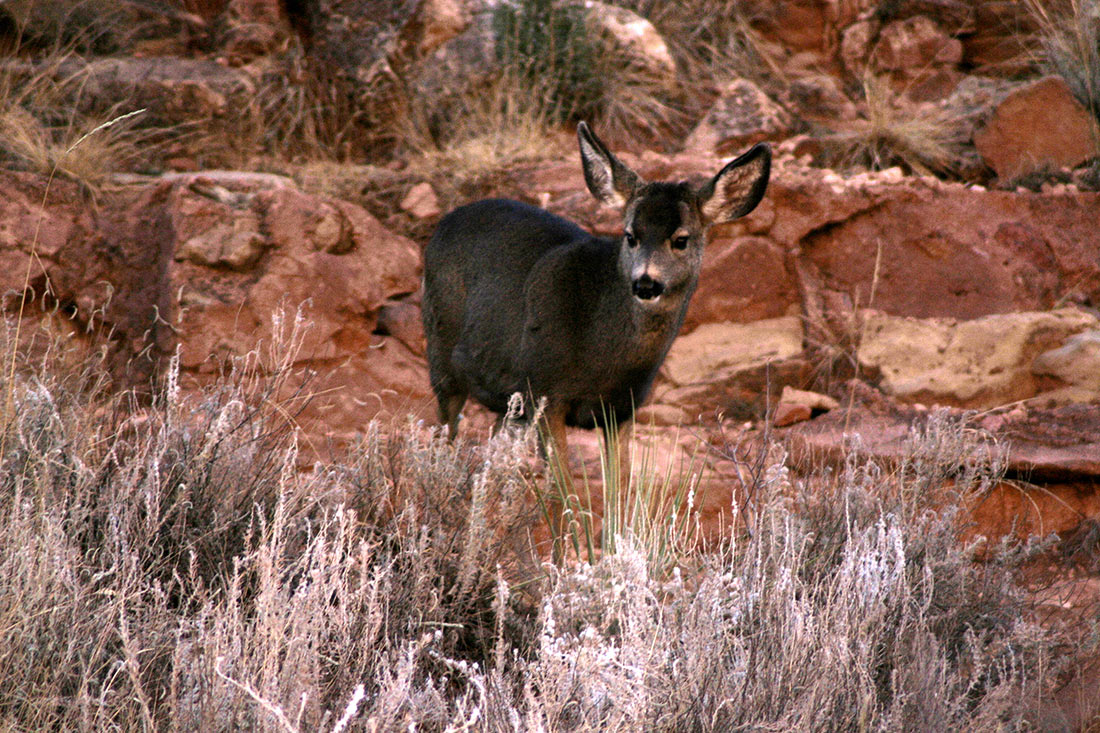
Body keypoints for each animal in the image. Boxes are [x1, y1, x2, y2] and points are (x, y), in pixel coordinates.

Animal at [420, 120, 774, 468]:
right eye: (630, 235)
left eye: (681, 239)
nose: (645, 284)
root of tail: (445, 222)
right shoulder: (544, 391)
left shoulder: (623, 407)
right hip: (441, 356)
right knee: (445, 432)